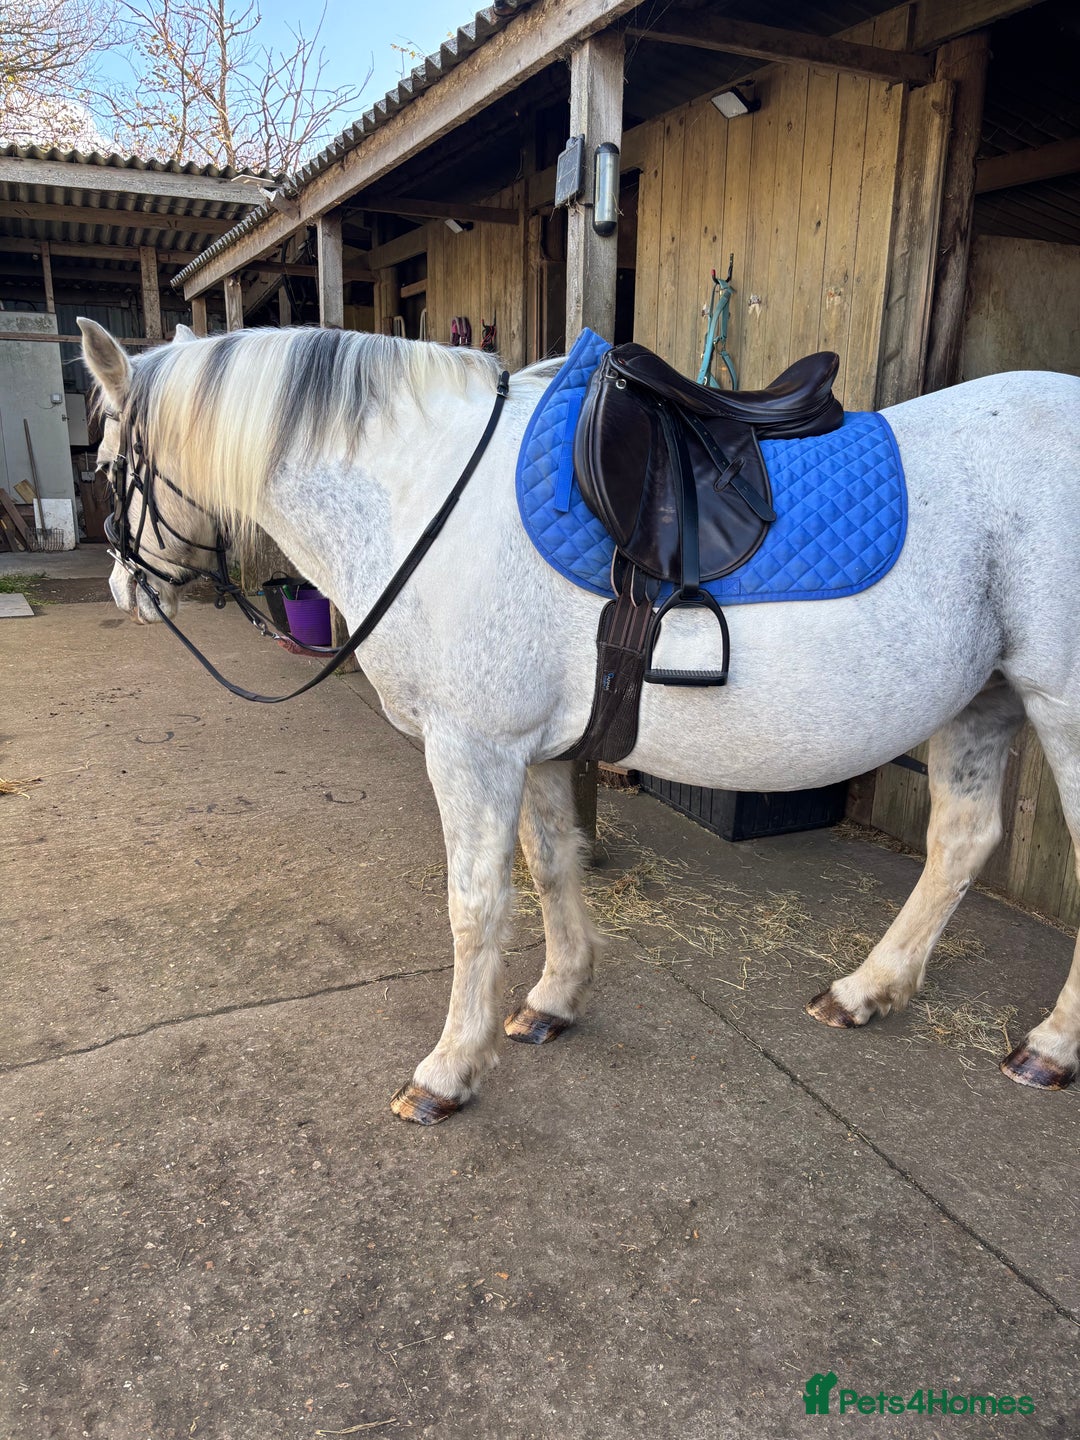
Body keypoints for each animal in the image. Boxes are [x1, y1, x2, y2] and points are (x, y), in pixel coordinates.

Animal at [78, 317, 1080, 1123]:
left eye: (108, 468)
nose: (127, 591)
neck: (425, 493)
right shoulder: (541, 751)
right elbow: (554, 865)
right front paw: (554, 1000)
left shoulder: (472, 750)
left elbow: (477, 904)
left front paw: (449, 1070)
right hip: (983, 697)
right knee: (960, 840)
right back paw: (869, 990)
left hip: (1060, 710)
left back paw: (1048, 1048)